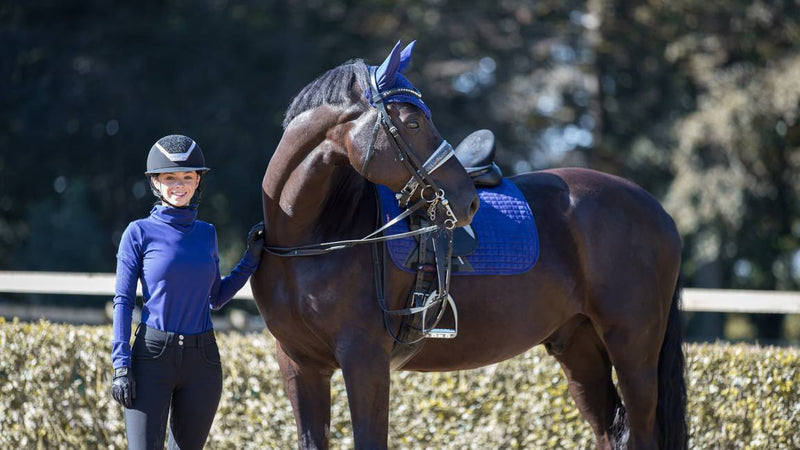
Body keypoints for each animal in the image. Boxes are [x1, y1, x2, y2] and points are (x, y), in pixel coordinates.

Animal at [252, 40, 688, 448]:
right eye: (412, 122)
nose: (468, 201)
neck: (311, 238)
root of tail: (656, 210)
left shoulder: (364, 358)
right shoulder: (300, 365)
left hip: (633, 348)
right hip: (580, 348)